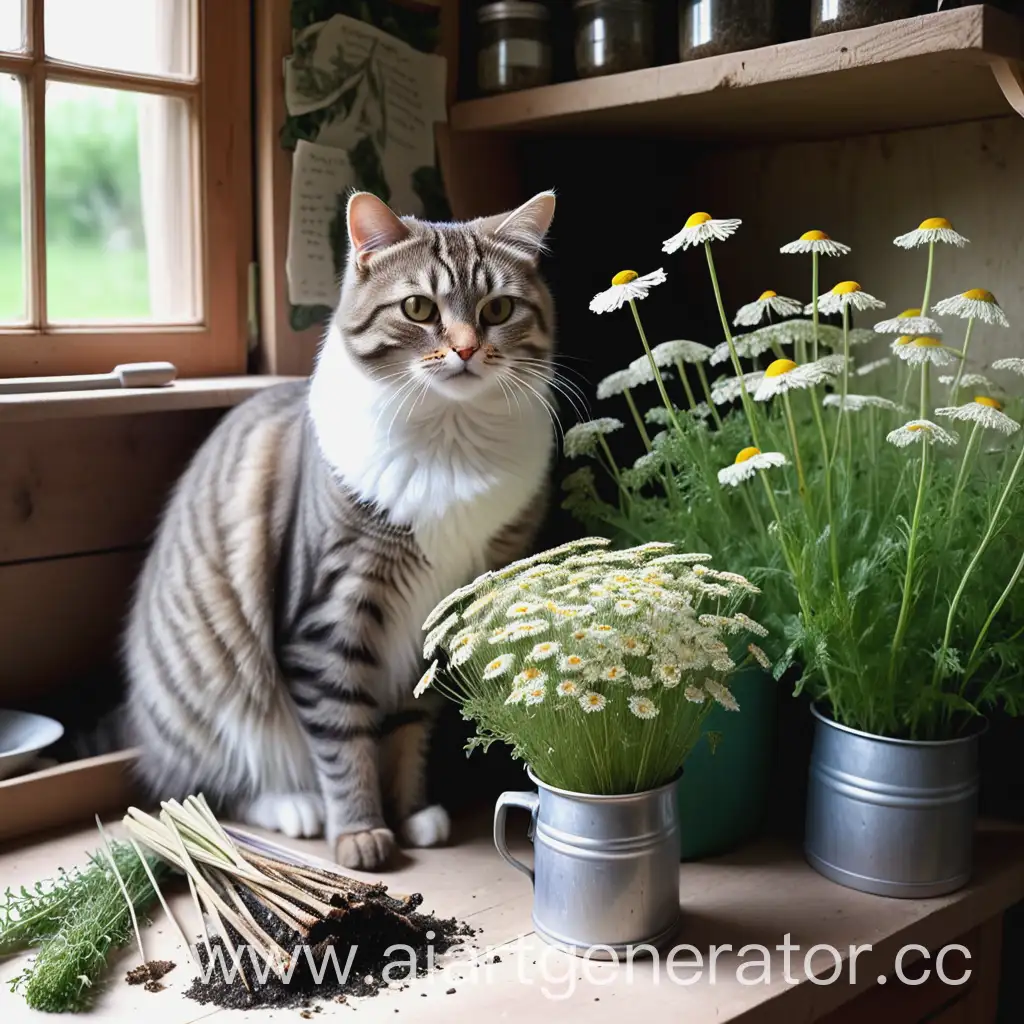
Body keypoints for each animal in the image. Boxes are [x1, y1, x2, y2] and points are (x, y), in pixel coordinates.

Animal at [128, 190, 561, 864]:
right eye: (418, 308)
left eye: (498, 309)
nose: (466, 349)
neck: (450, 441)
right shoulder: (327, 617)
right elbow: (342, 739)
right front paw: (360, 832)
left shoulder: (436, 623)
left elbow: (408, 729)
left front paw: (410, 814)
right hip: (216, 682)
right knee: (209, 787)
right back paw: (295, 808)